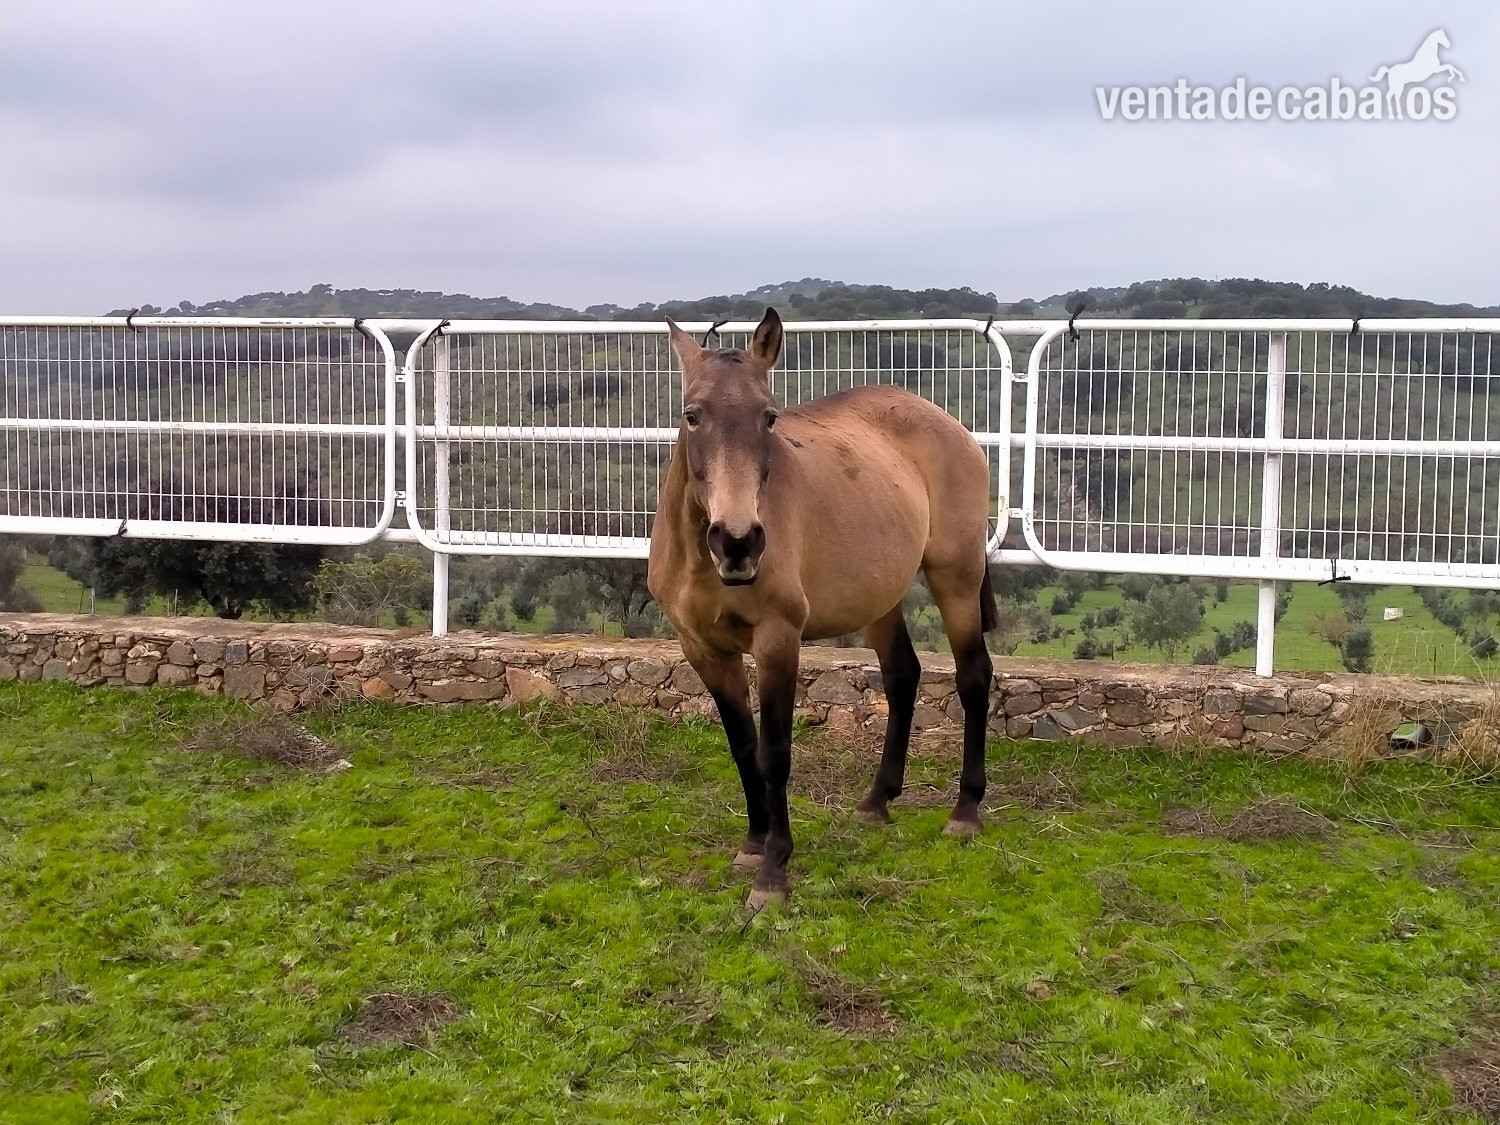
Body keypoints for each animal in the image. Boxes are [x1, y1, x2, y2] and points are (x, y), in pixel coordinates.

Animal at [646, 308, 1000, 909]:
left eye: (769, 418)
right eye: (692, 416)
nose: (738, 542)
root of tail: (950, 425)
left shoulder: (778, 641)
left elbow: (774, 753)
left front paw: (773, 871)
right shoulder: (703, 649)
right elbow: (742, 746)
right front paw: (752, 845)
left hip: (956, 577)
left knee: (974, 677)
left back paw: (964, 812)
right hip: (880, 598)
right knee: (902, 677)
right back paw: (877, 801)